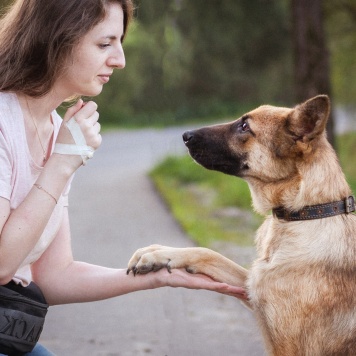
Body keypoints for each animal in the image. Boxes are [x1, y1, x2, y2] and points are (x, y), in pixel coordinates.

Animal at [126, 96, 354, 354]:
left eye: (245, 127)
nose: (185, 135)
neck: (306, 212)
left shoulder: (288, 346)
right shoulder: (251, 288)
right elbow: (209, 253)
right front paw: (159, 253)